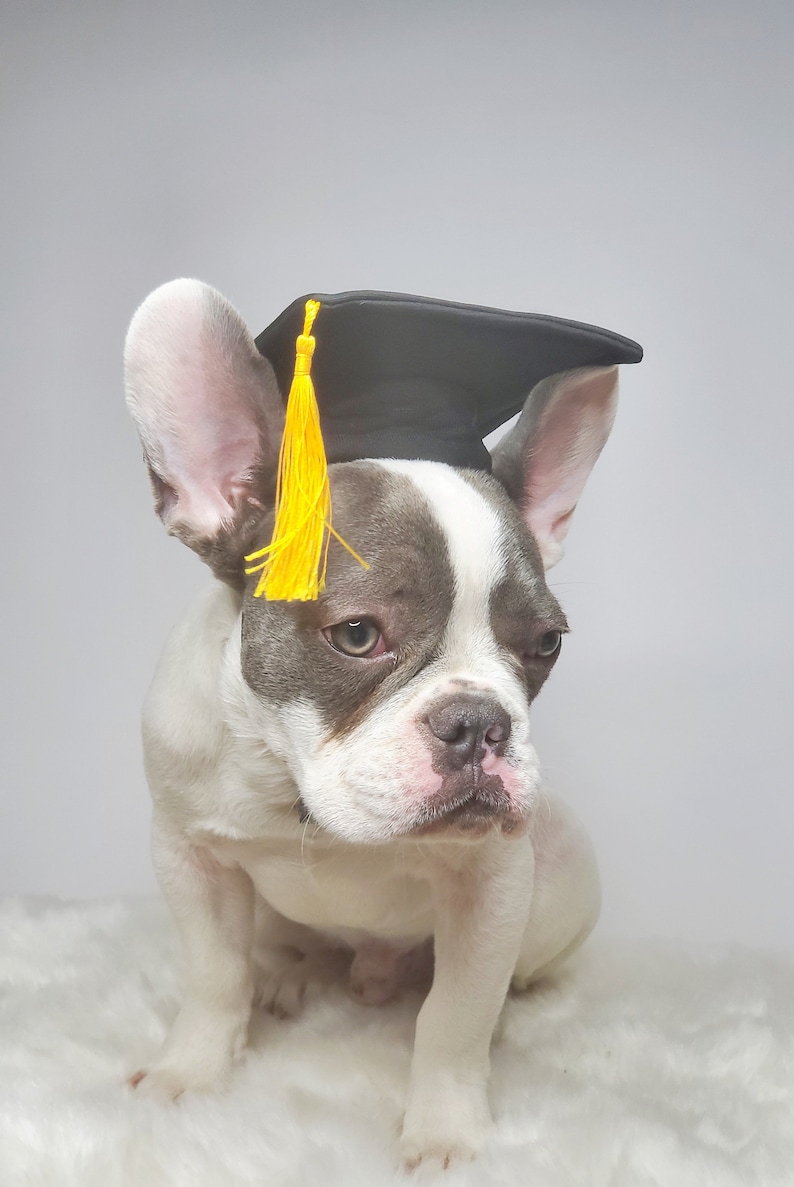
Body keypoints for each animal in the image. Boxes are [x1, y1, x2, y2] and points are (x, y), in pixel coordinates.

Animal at [125, 280, 636, 1168]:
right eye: (358, 635)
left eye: (544, 644)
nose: (480, 723)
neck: (297, 789)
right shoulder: (189, 852)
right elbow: (214, 974)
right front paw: (192, 1075)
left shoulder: (491, 886)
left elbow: (454, 1019)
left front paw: (447, 1132)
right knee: (283, 948)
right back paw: (288, 973)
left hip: (561, 871)